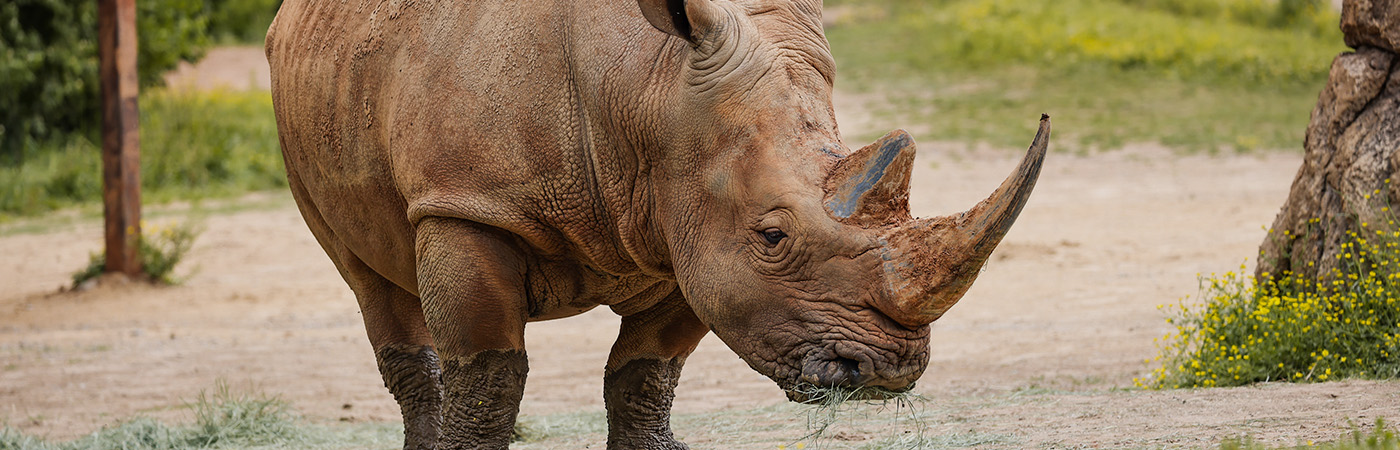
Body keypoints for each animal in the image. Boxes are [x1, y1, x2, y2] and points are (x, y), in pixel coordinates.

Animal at [266, 0, 1048, 448]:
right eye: (773, 237)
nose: (885, 372)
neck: (654, 90)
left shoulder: (688, 228)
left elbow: (645, 379)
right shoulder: (464, 206)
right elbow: (488, 382)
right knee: (368, 279)